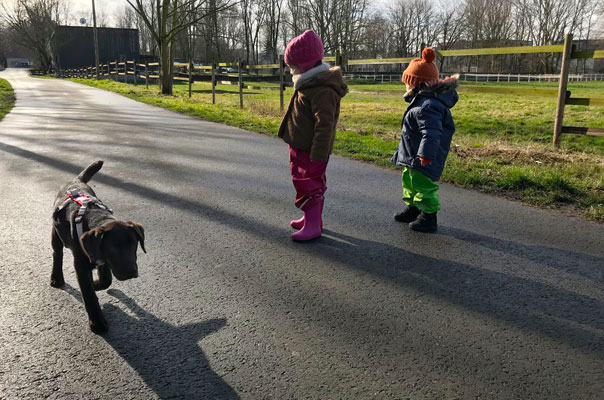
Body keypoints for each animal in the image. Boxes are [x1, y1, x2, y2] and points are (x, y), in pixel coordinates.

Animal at [50, 161, 145, 332]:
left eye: (133, 245)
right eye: (113, 248)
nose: (130, 272)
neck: (99, 219)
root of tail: (75, 180)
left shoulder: (102, 257)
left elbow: (106, 279)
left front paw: (96, 284)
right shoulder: (81, 264)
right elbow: (88, 294)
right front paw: (97, 322)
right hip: (56, 232)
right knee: (57, 253)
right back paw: (56, 277)